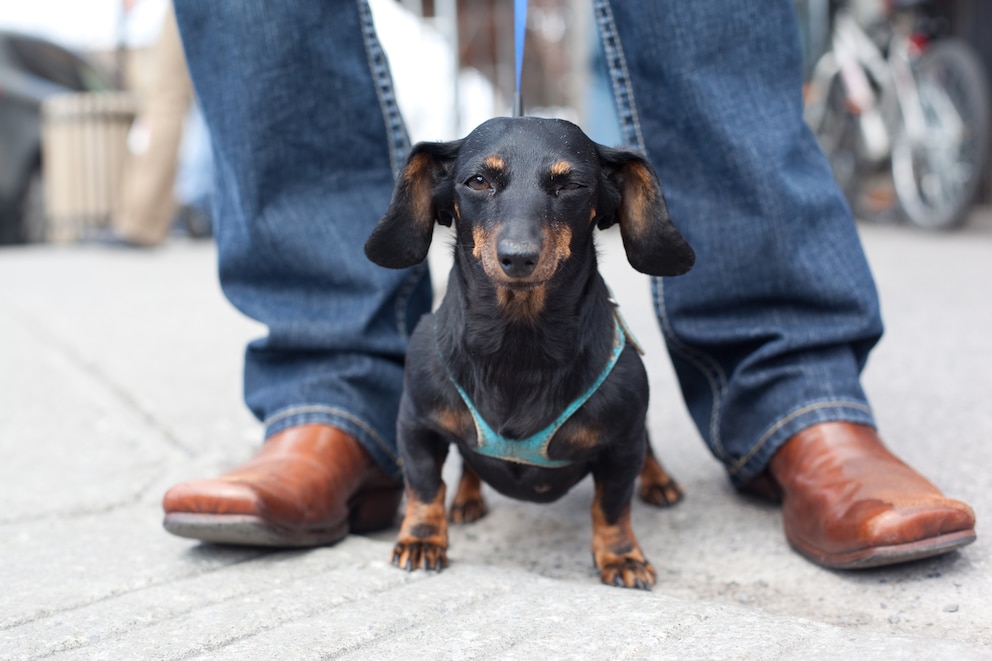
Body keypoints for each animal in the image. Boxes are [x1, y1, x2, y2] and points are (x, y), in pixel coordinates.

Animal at [364, 117, 696, 588]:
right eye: (478, 180)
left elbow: (612, 507)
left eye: (571, 184)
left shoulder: (622, 444)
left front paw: (621, 556)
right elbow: (425, 486)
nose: (518, 258)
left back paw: (659, 482)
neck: (518, 346)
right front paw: (422, 539)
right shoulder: (416, 423)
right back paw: (466, 499)